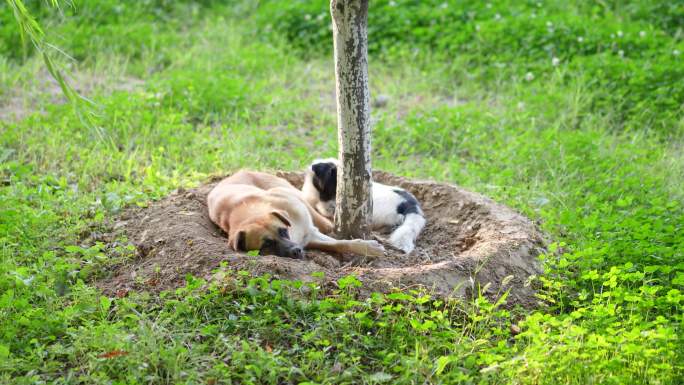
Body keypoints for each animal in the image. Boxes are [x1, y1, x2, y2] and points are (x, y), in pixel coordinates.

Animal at [207, 170, 384, 258]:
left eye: (283, 231)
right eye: (266, 245)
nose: (297, 251)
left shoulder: (309, 229)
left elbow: (339, 242)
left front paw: (367, 247)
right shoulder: (310, 238)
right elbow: (337, 244)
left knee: (326, 222)